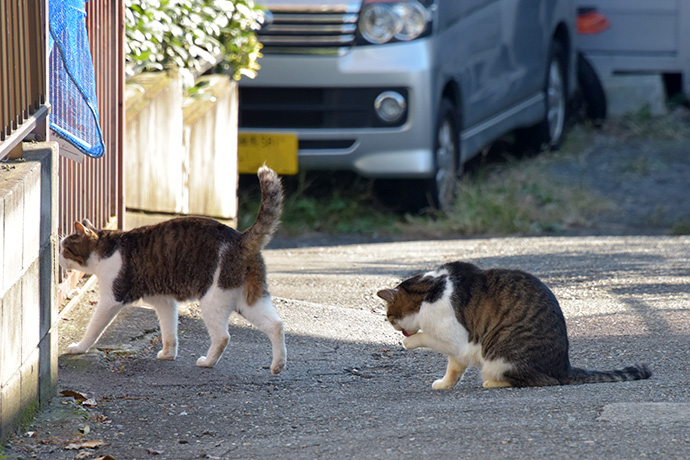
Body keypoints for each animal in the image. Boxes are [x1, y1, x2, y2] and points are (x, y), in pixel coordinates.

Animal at [59, 166, 284, 374]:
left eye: (65, 249)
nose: (58, 259)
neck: (106, 249)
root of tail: (239, 238)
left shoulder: (111, 299)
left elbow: (94, 328)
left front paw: (79, 348)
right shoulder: (164, 301)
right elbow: (169, 331)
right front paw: (168, 354)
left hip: (213, 300)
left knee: (223, 337)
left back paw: (207, 362)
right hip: (248, 301)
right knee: (276, 325)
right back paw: (278, 365)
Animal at [376, 262, 652, 388]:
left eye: (389, 317)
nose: (395, 328)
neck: (431, 290)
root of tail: (563, 366)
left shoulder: (455, 338)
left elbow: (427, 338)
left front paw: (409, 341)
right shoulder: (459, 351)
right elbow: (454, 369)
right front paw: (445, 384)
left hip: (498, 355)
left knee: (540, 380)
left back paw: (492, 382)